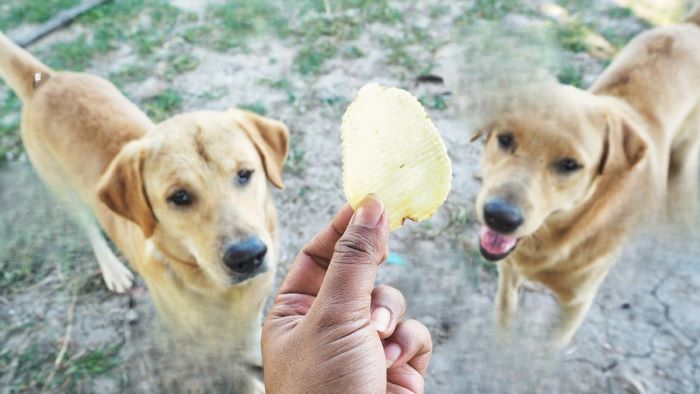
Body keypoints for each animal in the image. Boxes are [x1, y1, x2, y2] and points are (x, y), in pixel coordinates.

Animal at [0, 34, 288, 366]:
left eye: (244, 174)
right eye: (179, 196)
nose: (248, 256)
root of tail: (45, 81)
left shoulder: (253, 314)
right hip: (64, 191)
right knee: (89, 230)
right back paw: (113, 270)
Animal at [470, 6, 700, 348]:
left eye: (569, 164)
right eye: (505, 139)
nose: (499, 217)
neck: (557, 236)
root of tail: (689, 27)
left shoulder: (575, 306)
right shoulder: (508, 277)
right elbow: (504, 322)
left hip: (685, 153)